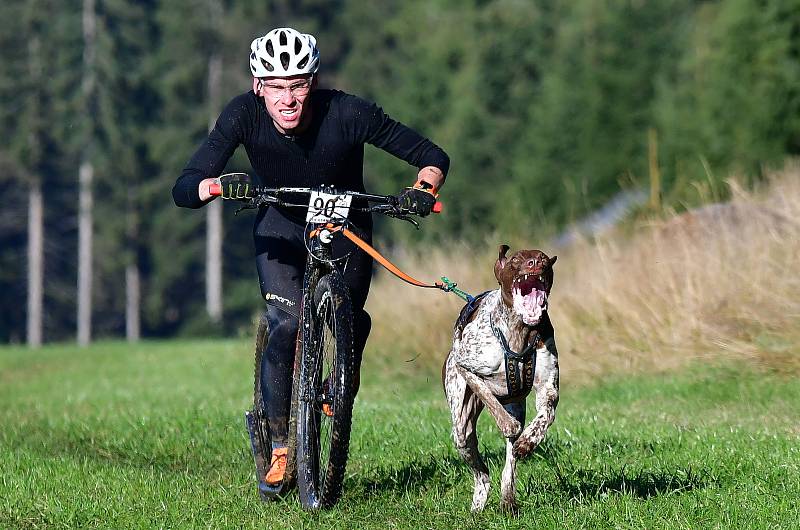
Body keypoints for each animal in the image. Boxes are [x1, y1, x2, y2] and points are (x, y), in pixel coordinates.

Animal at [440, 245, 560, 510]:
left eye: (544, 259)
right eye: (515, 260)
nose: (536, 263)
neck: (518, 332)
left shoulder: (548, 388)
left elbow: (545, 416)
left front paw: (528, 441)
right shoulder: (465, 365)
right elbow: (489, 397)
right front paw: (507, 423)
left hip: (516, 406)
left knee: (509, 462)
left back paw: (508, 496)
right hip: (461, 430)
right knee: (481, 472)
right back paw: (479, 500)